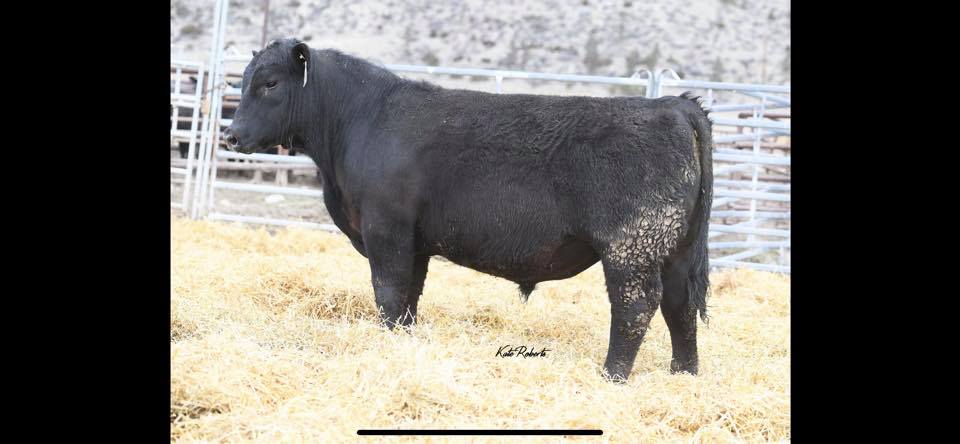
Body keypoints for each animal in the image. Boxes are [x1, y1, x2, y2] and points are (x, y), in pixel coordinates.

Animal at [224, 38, 713, 382]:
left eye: (269, 83)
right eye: (244, 80)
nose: (231, 135)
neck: (359, 121)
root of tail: (673, 104)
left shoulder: (387, 231)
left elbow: (388, 295)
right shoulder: (415, 244)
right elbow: (408, 301)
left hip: (632, 248)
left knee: (635, 308)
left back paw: (612, 377)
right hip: (676, 250)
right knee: (680, 307)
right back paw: (684, 377)